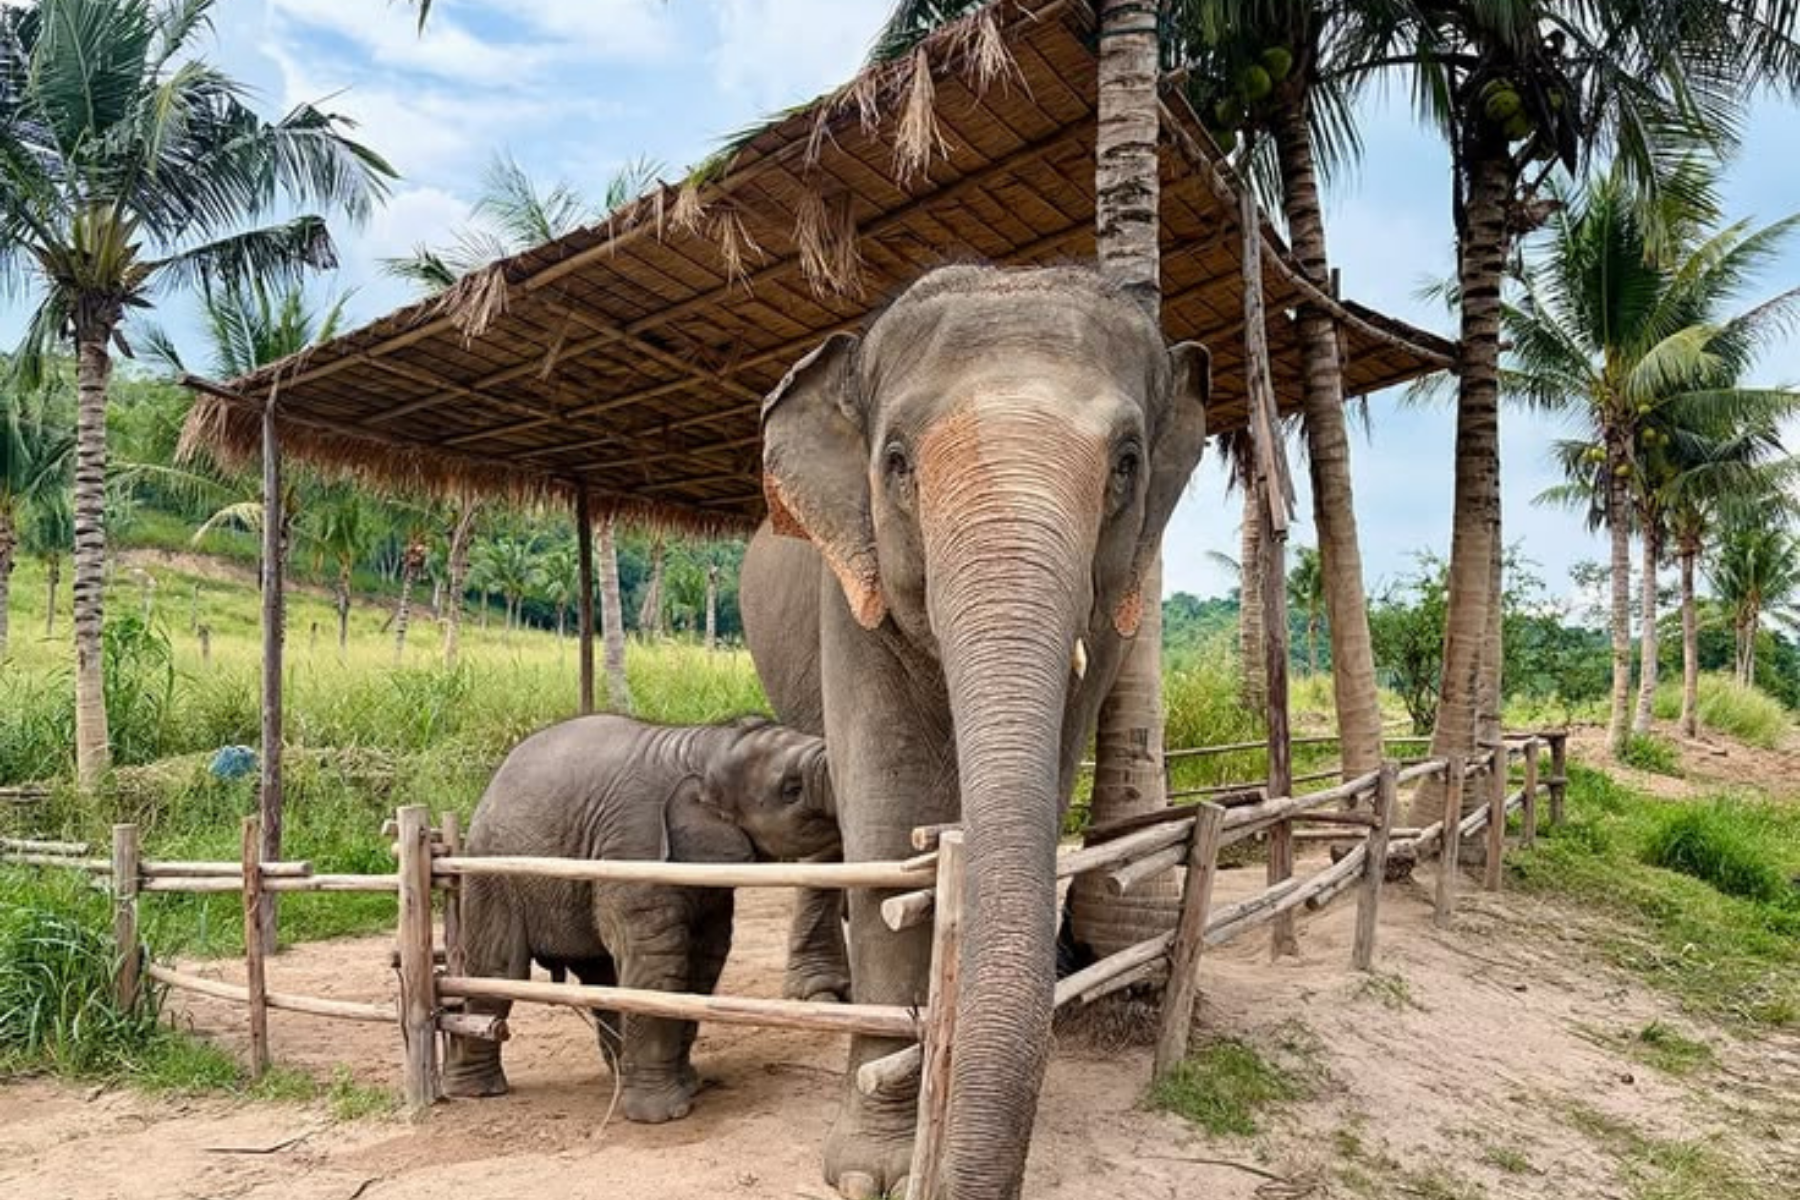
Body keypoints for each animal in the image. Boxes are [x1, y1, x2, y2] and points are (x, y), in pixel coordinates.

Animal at [441, 714, 840, 1124]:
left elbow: (703, 961)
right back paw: (476, 1092)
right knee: (497, 969)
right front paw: (662, 1115)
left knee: (603, 976)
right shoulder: (635, 846)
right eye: (791, 790)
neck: (703, 745)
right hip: (492, 875)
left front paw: (689, 1086)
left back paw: (620, 1073)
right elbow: (660, 962)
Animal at [741, 264, 1209, 1198]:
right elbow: (889, 819)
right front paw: (871, 1174)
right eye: (896, 462)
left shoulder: (1113, 618)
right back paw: (819, 992)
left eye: (1128, 463)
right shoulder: (851, 595)